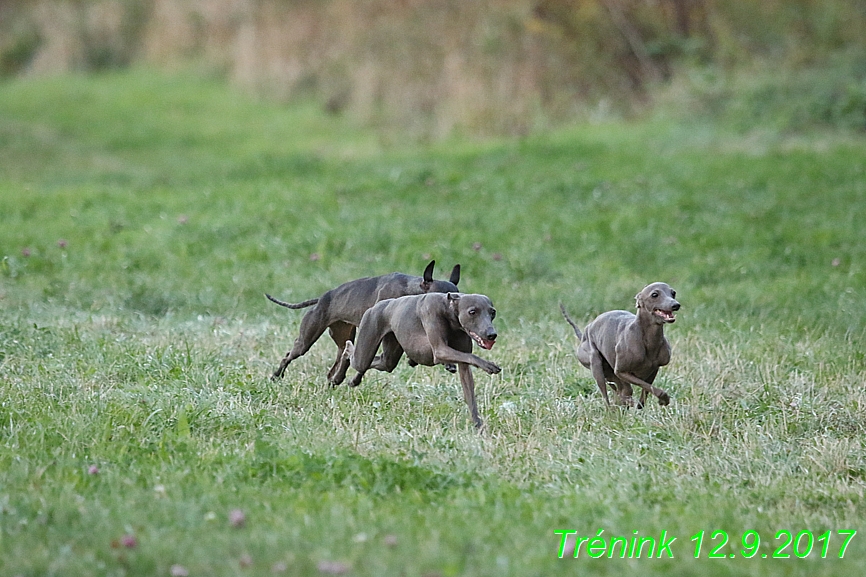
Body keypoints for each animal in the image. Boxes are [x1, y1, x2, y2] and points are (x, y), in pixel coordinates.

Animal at [268, 258, 460, 384]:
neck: (410, 289)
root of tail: (322, 299)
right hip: (307, 338)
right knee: (290, 355)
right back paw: (276, 375)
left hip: (343, 337)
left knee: (338, 363)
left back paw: (336, 380)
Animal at [340, 292, 496, 428]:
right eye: (472, 312)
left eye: (492, 312)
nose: (492, 334)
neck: (449, 310)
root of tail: (376, 306)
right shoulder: (439, 348)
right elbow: (467, 356)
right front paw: (488, 365)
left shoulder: (463, 365)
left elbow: (469, 390)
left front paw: (478, 425)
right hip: (366, 342)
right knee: (354, 355)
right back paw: (344, 358)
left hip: (388, 355)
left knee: (380, 363)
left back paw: (354, 380)